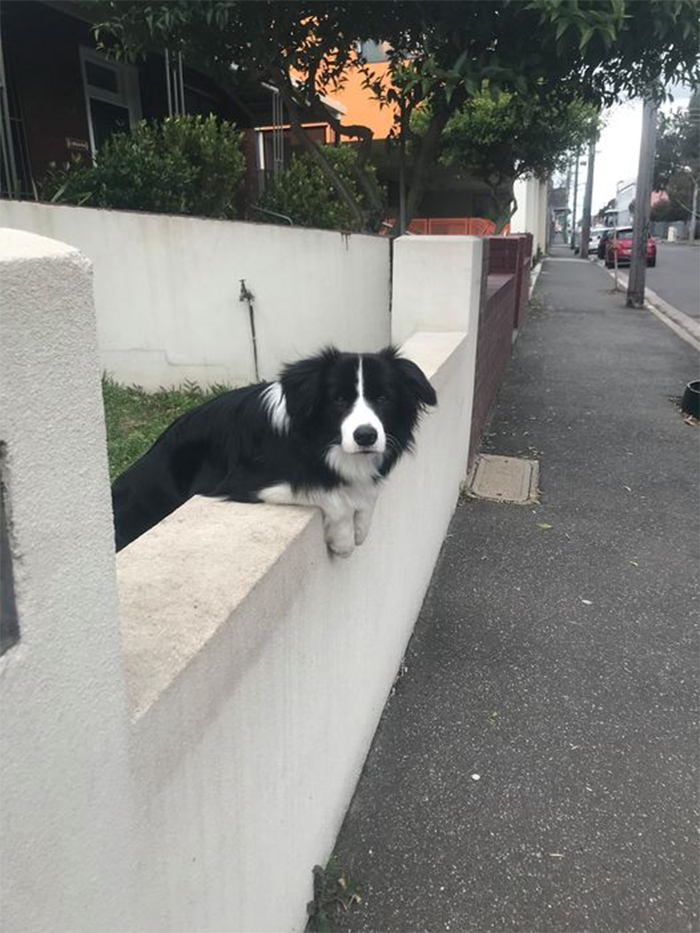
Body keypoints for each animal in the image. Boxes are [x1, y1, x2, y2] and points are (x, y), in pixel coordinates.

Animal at [111, 348, 434, 552]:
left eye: (383, 398)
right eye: (338, 400)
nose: (365, 436)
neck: (317, 442)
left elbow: (366, 494)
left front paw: (361, 526)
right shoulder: (240, 482)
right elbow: (331, 495)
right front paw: (343, 540)